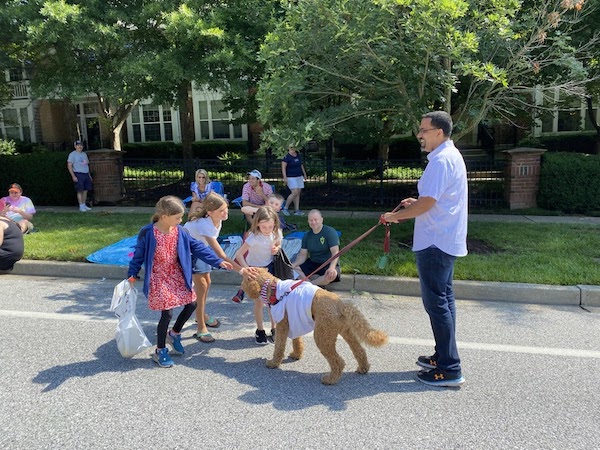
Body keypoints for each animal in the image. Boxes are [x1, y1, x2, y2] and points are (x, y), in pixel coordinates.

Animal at [240, 268, 390, 384]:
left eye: (245, 278)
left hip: (322, 336)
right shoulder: (294, 320)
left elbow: (279, 347)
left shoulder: (282, 325)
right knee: (359, 351)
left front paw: (273, 363)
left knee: (338, 361)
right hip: (346, 332)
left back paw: (330, 379)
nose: (241, 287)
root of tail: (341, 305)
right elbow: (297, 341)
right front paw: (296, 354)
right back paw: (363, 368)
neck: (272, 287)